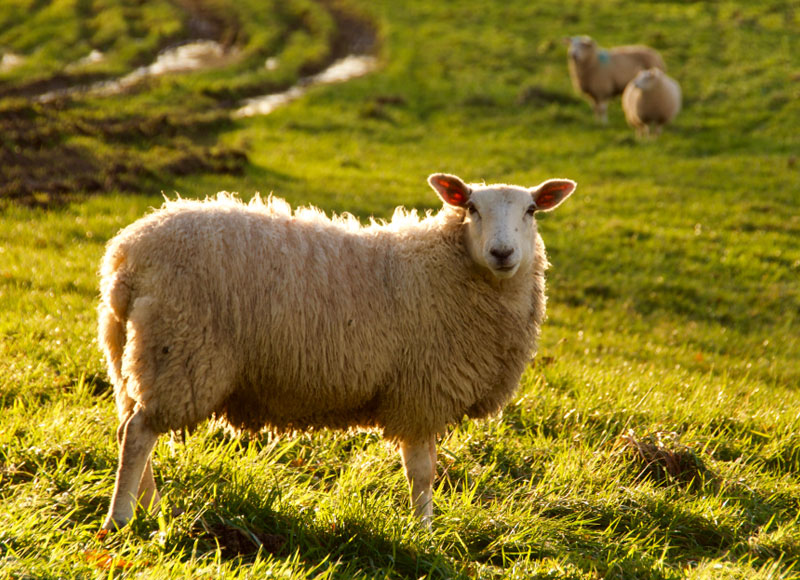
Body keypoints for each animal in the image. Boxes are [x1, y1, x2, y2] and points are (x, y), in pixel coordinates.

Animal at [98, 173, 576, 531]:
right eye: (472, 208)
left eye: (531, 210)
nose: (502, 252)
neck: (448, 266)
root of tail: (126, 255)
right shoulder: (420, 391)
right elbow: (422, 471)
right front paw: (423, 531)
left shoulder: (423, 393)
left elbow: (428, 468)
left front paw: (424, 526)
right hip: (180, 351)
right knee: (139, 433)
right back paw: (120, 520)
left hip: (132, 355)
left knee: (128, 428)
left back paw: (150, 509)